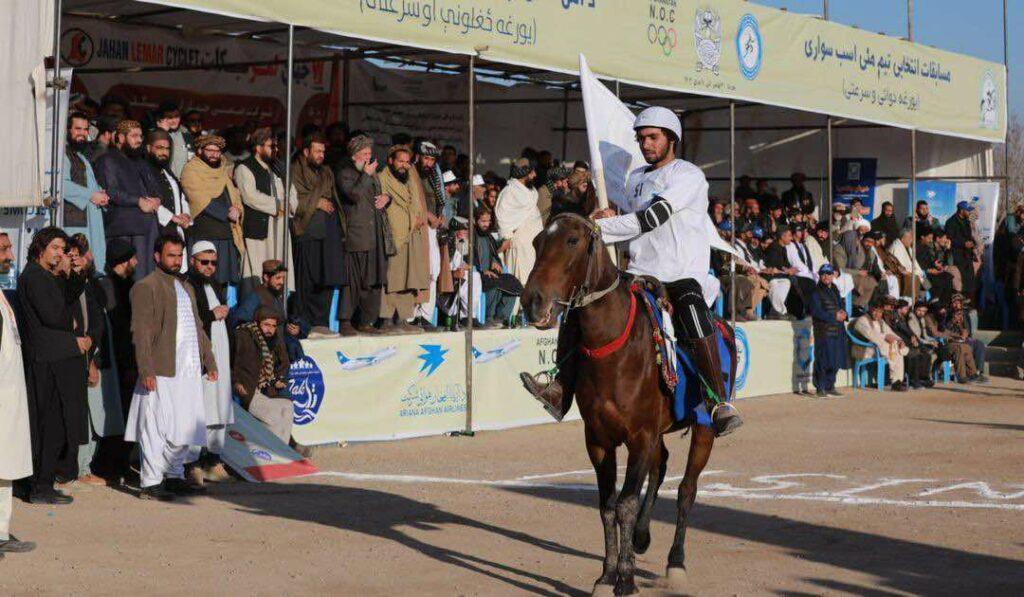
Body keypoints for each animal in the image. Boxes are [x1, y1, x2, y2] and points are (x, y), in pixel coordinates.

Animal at [524, 212, 724, 593]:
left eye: (572, 240)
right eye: (537, 241)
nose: (532, 300)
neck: (613, 348)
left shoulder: (640, 436)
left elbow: (626, 504)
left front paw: (626, 578)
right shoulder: (599, 440)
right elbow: (607, 505)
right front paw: (607, 575)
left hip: (703, 429)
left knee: (687, 490)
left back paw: (676, 563)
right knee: (660, 467)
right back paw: (643, 536)